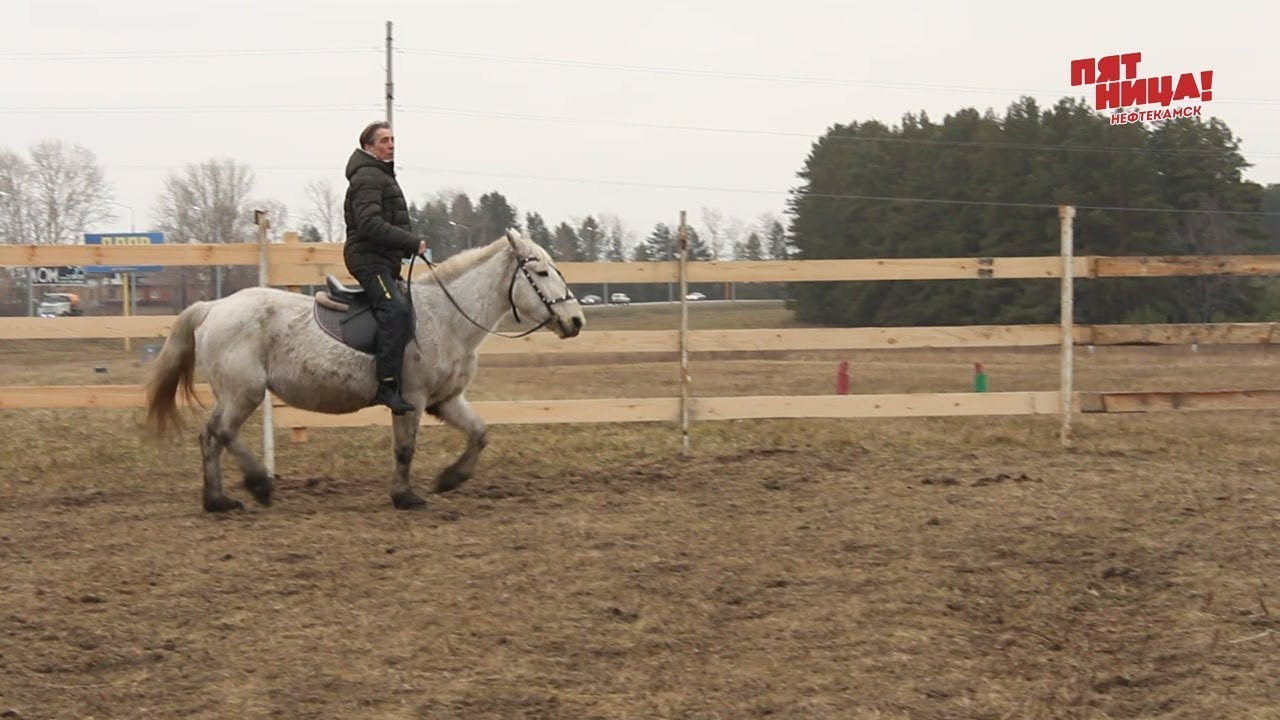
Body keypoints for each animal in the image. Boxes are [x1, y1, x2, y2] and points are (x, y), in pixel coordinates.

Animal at [145, 228, 586, 509]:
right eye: (541, 272)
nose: (576, 321)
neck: (446, 317)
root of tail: (213, 307)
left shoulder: (445, 400)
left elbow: (479, 434)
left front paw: (448, 479)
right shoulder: (411, 399)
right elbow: (405, 449)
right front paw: (404, 496)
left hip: (237, 393)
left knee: (211, 436)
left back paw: (218, 501)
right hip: (244, 391)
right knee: (221, 432)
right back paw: (258, 485)